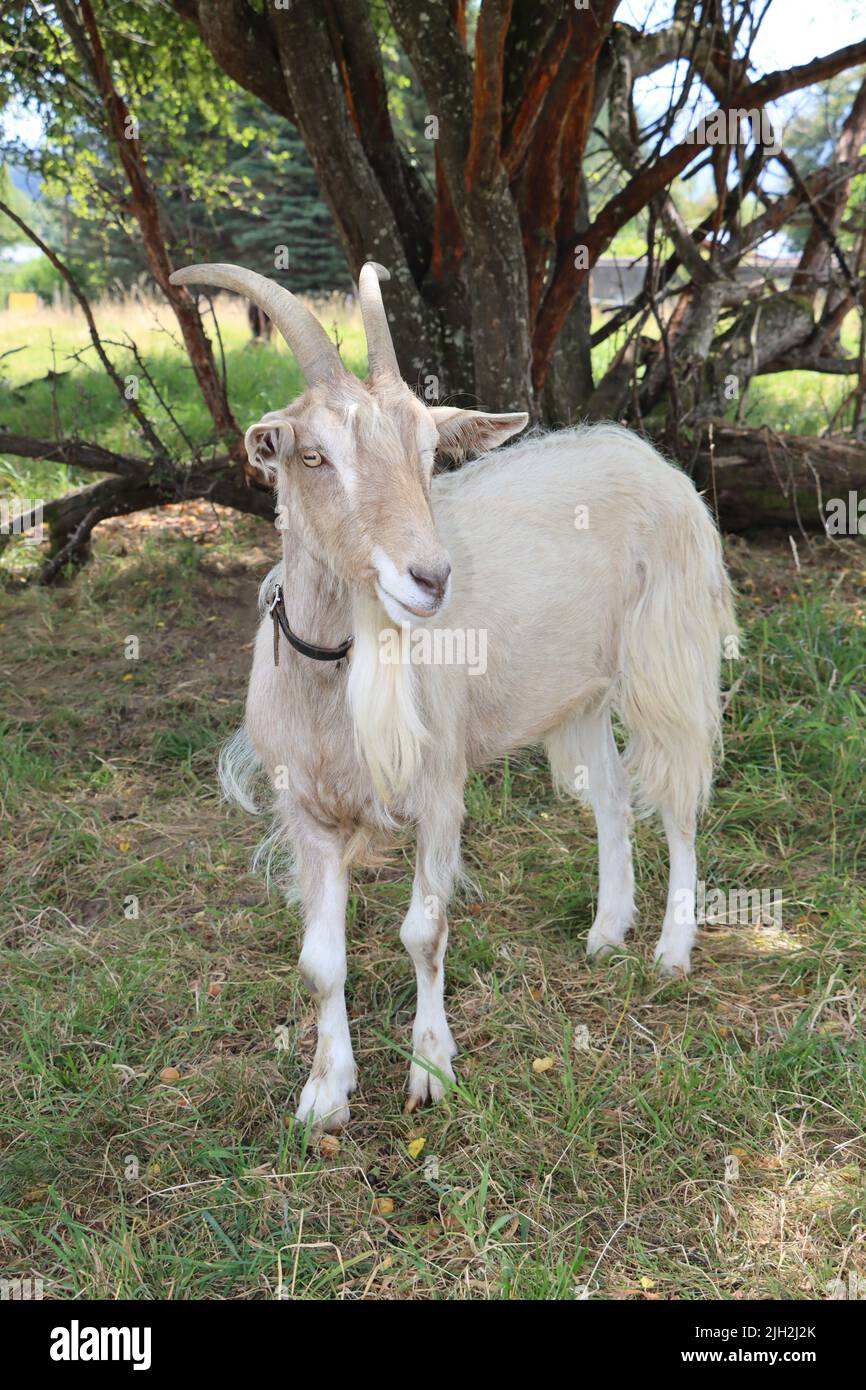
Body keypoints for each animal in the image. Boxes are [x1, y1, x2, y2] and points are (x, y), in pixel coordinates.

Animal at [166, 258, 733, 1128]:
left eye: (431, 451)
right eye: (312, 455)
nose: (430, 578)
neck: (335, 677)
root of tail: (647, 455)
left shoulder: (438, 791)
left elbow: (422, 934)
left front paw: (431, 1068)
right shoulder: (306, 809)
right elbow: (320, 960)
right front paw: (325, 1092)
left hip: (666, 658)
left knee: (677, 794)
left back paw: (671, 950)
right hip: (577, 693)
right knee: (608, 798)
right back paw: (607, 931)